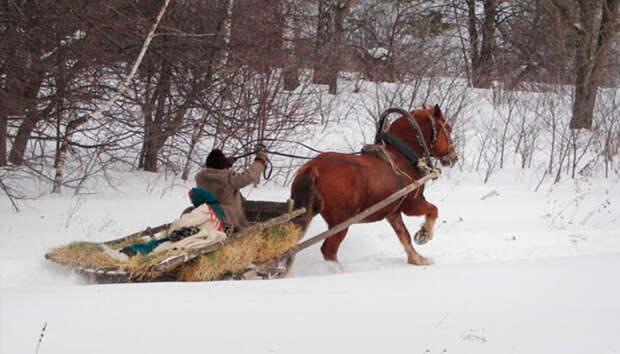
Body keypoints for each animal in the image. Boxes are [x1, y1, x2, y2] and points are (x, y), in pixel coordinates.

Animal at [290, 103, 456, 264]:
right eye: (448, 128)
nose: (454, 157)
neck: (401, 157)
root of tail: (313, 167)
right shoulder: (412, 204)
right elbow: (433, 210)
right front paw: (424, 235)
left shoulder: (393, 212)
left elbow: (404, 235)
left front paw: (417, 259)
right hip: (341, 221)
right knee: (329, 250)